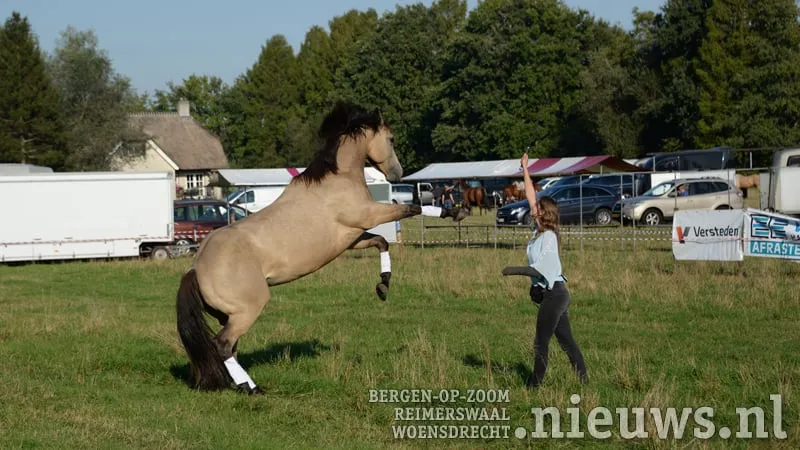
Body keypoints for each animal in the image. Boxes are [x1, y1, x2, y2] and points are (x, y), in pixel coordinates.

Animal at [175, 101, 423, 394]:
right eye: (391, 139)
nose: (398, 174)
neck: (337, 180)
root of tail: (196, 268)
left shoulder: (352, 238)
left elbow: (381, 241)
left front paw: (383, 286)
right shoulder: (367, 216)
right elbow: (409, 209)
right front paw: (446, 210)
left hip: (228, 315)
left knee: (230, 348)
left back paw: (240, 384)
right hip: (246, 310)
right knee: (223, 346)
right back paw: (252, 388)